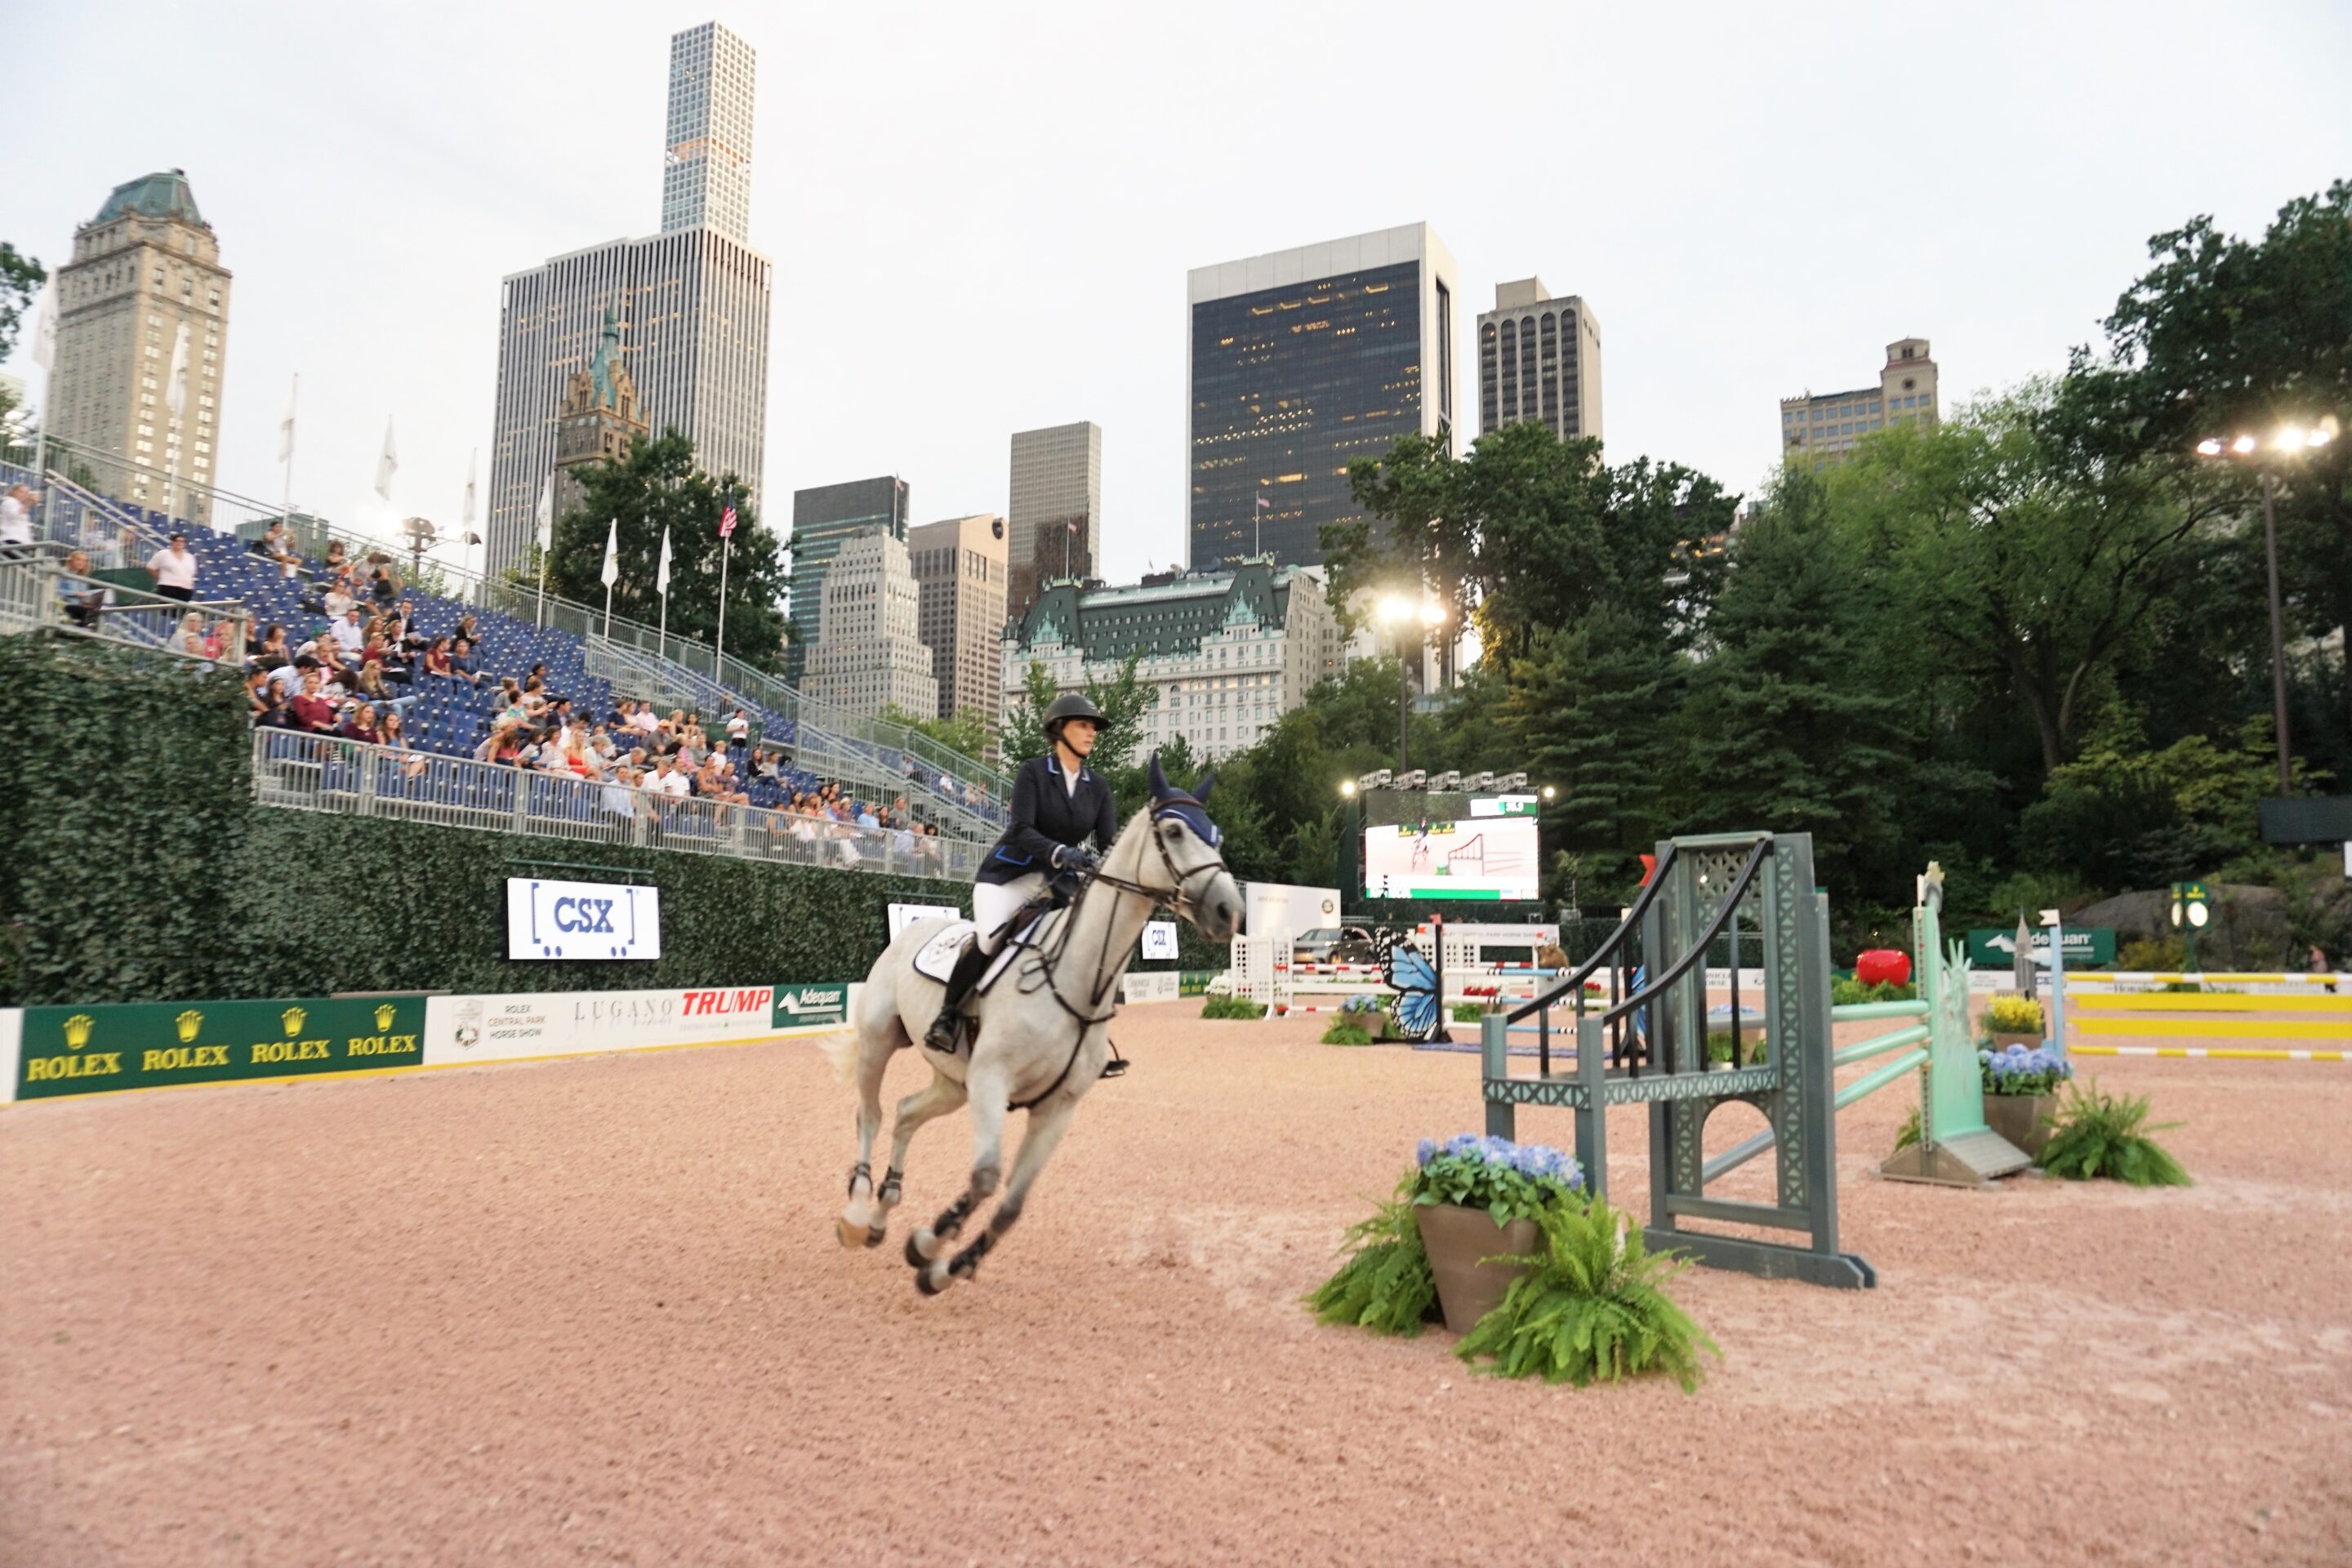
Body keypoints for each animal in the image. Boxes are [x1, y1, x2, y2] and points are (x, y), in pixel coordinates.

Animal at [823, 754, 1243, 1295]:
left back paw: (881, 1215)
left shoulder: (1055, 1108)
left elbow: (1012, 1205)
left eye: (1217, 838)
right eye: (1173, 831)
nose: (1230, 912)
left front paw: (944, 1268)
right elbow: (985, 1178)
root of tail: (918, 924)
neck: (1075, 980)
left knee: (906, 1112)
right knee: (870, 1114)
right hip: (882, 1042)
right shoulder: (992, 1081)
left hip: (953, 1081)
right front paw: (930, 1243)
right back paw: (857, 1215)